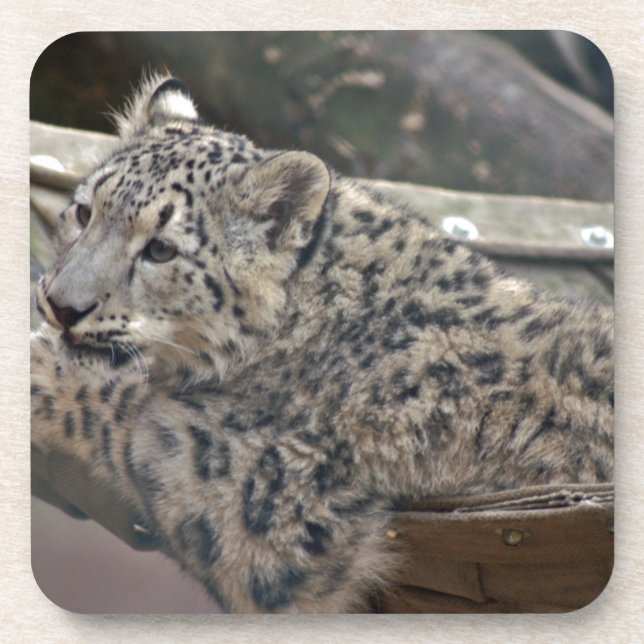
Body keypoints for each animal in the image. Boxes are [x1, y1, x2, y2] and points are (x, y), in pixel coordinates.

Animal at [30, 74, 614, 613]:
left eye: (161, 249)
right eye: (84, 212)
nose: (62, 305)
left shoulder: (269, 495)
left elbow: (134, 417)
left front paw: (44, 367)